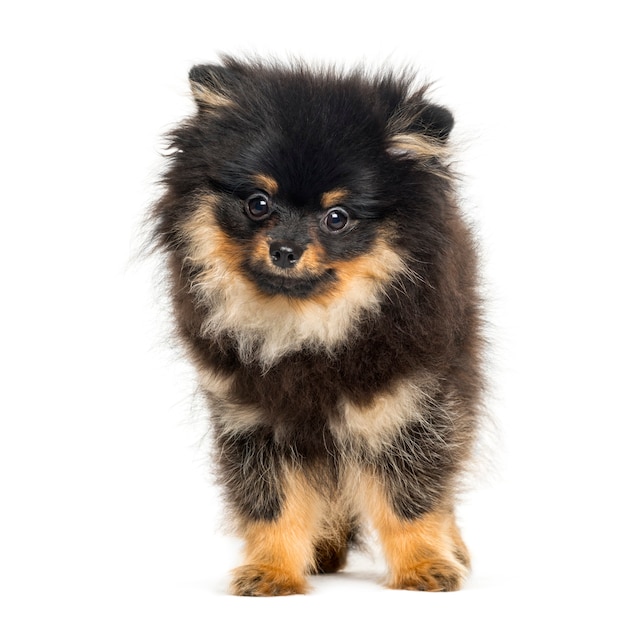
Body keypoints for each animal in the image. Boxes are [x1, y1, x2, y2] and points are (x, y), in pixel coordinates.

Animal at [150, 58, 482, 596]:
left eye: (337, 217)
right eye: (258, 203)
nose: (285, 250)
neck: (307, 333)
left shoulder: (406, 409)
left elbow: (409, 497)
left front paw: (423, 565)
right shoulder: (254, 419)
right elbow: (274, 504)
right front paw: (272, 570)